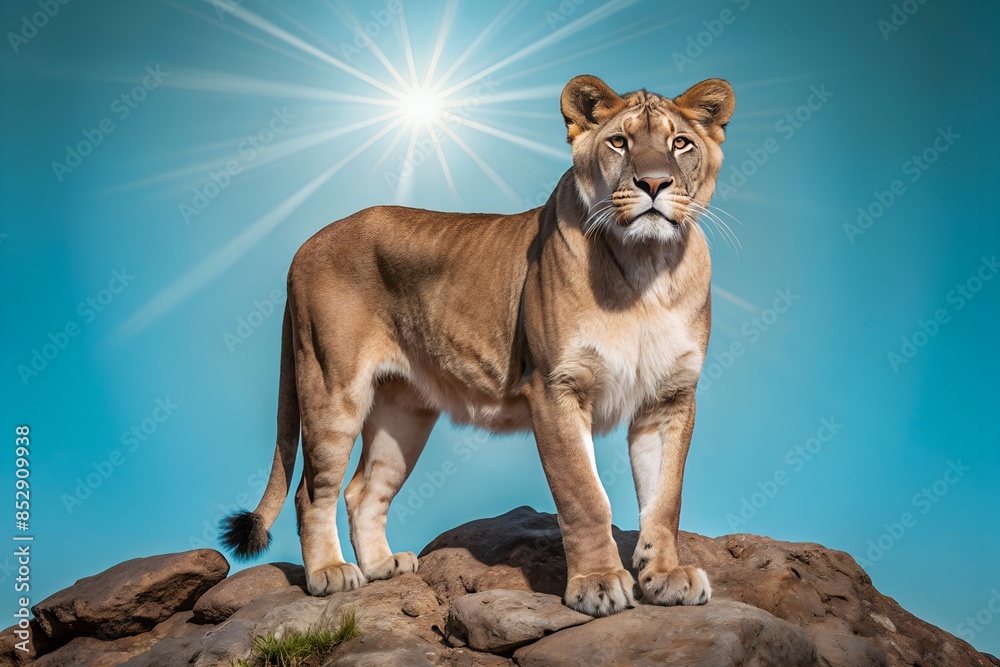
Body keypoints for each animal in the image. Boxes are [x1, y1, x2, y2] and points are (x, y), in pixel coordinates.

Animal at [220, 74, 735, 617]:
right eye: (619, 142)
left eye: (681, 144)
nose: (654, 184)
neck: (646, 268)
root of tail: (307, 243)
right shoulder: (555, 388)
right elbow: (584, 495)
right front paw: (596, 584)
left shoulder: (670, 396)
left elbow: (666, 497)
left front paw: (666, 577)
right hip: (330, 387)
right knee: (311, 490)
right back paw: (330, 573)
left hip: (404, 412)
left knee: (364, 490)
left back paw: (382, 565)